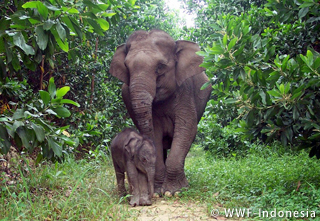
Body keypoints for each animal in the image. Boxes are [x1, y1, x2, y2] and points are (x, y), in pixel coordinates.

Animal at [109, 29, 211, 195]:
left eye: (161, 67)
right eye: (127, 68)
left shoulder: (185, 90)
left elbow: (187, 128)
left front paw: (174, 191)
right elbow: (155, 131)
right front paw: (158, 191)